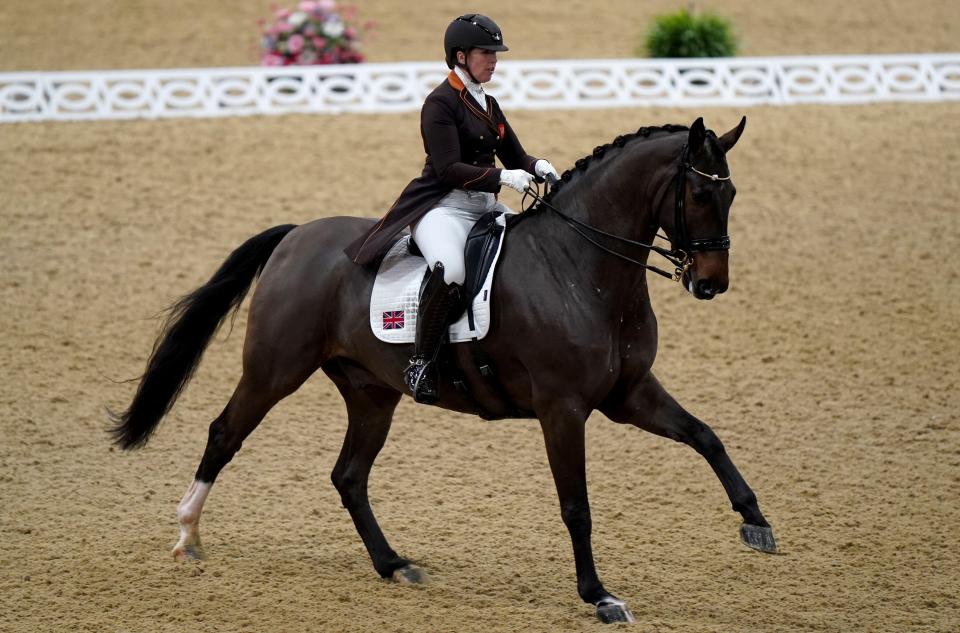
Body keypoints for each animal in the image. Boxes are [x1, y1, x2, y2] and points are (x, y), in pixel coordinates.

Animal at [112, 117, 776, 624]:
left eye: (732, 196)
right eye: (699, 196)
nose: (710, 283)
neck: (580, 267)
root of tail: (296, 235)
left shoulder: (629, 393)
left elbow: (705, 436)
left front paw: (757, 524)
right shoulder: (562, 409)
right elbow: (576, 505)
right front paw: (599, 596)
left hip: (371, 392)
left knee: (348, 475)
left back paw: (394, 564)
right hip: (275, 369)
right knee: (225, 434)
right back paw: (187, 536)